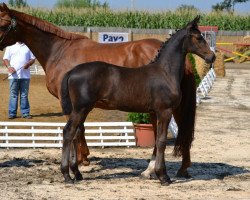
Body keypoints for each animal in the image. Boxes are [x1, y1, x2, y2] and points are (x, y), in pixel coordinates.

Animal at [0, 3, 197, 177]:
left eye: (3, 24)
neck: (59, 51)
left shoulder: (69, 104)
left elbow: (76, 131)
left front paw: (79, 162)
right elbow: (80, 128)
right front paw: (82, 159)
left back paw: (167, 168)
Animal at [60, 16, 215, 185]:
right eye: (199, 37)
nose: (212, 57)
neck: (166, 72)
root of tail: (72, 72)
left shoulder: (158, 112)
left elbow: (158, 140)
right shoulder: (164, 111)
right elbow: (161, 141)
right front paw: (163, 176)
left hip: (82, 109)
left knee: (74, 133)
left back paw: (76, 173)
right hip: (81, 108)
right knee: (68, 132)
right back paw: (67, 175)